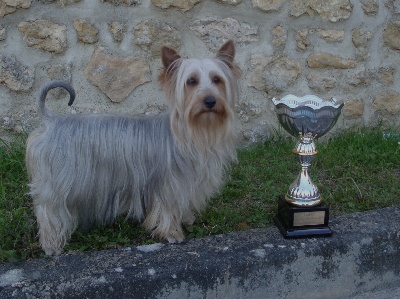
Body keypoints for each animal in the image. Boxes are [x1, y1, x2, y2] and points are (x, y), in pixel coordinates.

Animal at [26, 39, 242, 255]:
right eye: (191, 81)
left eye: (216, 79)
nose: (210, 100)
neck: (192, 133)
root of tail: (52, 120)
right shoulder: (168, 186)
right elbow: (167, 209)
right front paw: (172, 233)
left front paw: (186, 218)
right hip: (58, 184)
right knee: (48, 211)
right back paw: (51, 245)